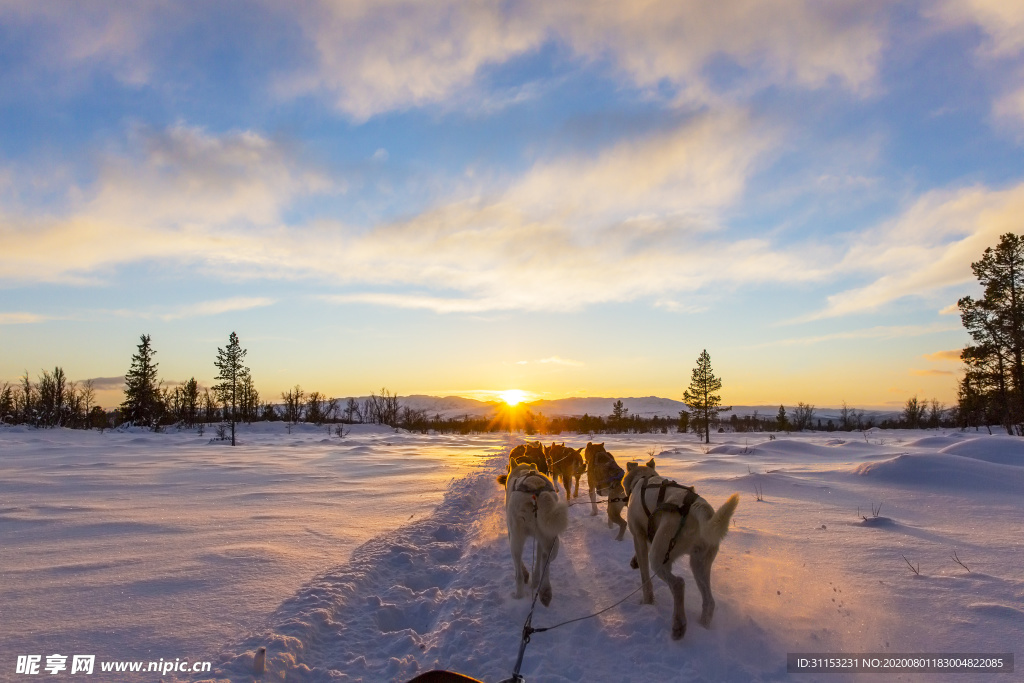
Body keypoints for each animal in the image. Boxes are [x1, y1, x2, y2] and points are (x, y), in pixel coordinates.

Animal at [499, 456, 573, 606]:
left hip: (517, 539)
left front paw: (527, 576)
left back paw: (519, 595)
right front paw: (534, 580)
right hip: (550, 538)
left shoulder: (511, 534)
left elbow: (521, 566)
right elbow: (539, 560)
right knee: (545, 560)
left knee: (518, 572)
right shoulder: (539, 540)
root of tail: (537, 492)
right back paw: (544, 590)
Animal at [618, 458, 741, 643]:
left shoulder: (639, 536)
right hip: (699, 563)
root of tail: (698, 507)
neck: (644, 478)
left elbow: (645, 578)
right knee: (709, 601)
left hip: (659, 558)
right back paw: (703, 626)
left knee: (678, 584)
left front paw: (647, 602)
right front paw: (634, 561)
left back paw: (679, 625)